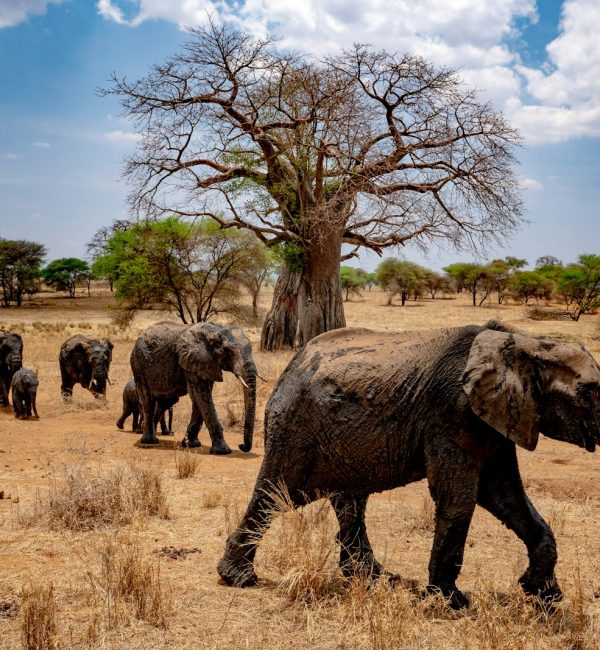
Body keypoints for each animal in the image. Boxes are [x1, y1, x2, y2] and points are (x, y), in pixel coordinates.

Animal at [131, 318, 258, 450]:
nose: (241, 445)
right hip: (138, 364)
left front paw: (190, 444)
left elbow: (201, 398)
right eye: (228, 352)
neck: (215, 329)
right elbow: (201, 395)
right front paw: (222, 450)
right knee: (147, 399)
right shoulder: (192, 360)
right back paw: (149, 441)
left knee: (165, 401)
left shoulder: (205, 363)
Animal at [219, 318, 600, 608]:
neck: (527, 343)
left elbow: (506, 496)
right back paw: (239, 578)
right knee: (274, 492)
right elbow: (459, 498)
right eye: (589, 393)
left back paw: (374, 578)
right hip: (295, 426)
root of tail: (292, 365)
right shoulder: (452, 412)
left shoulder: (501, 416)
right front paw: (450, 603)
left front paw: (545, 596)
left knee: (348, 501)